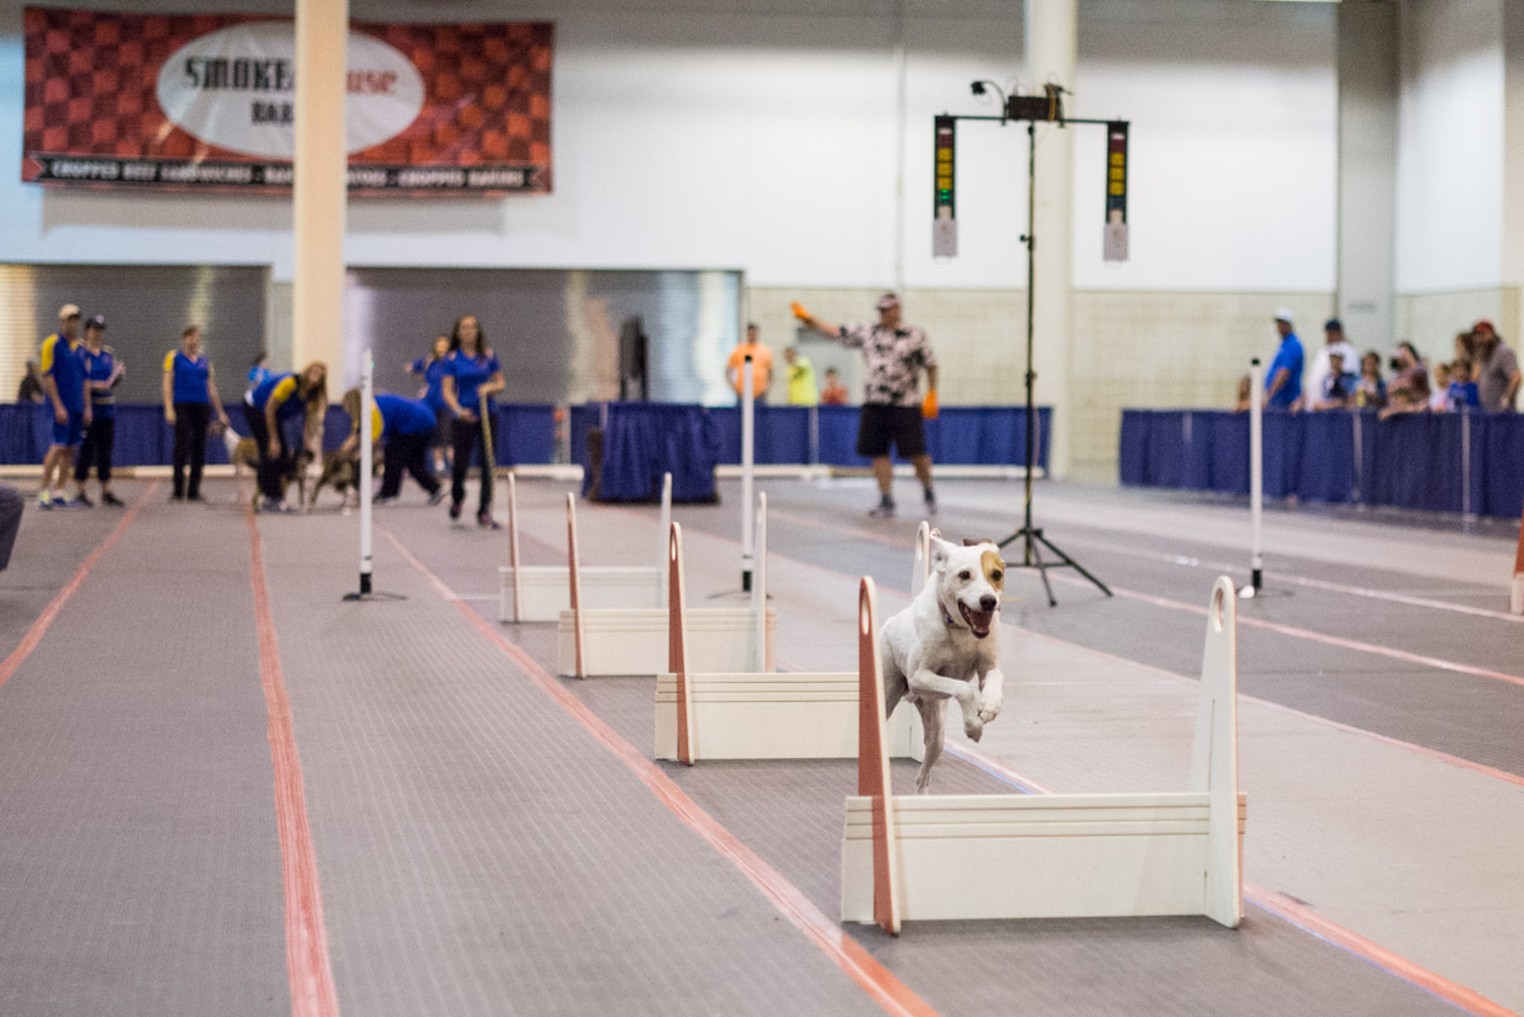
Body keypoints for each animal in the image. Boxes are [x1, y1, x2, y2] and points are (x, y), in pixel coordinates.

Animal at [890, 533, 1005, 792]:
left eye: (997, 574)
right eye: (964, 575)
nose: (989, 601)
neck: (960, 628)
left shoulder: (988, 665)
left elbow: (995, 677)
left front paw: (989, 706)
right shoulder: (919, 676)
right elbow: (964, 688)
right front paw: (973, 725)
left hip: (936, 729)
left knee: (923, 774)